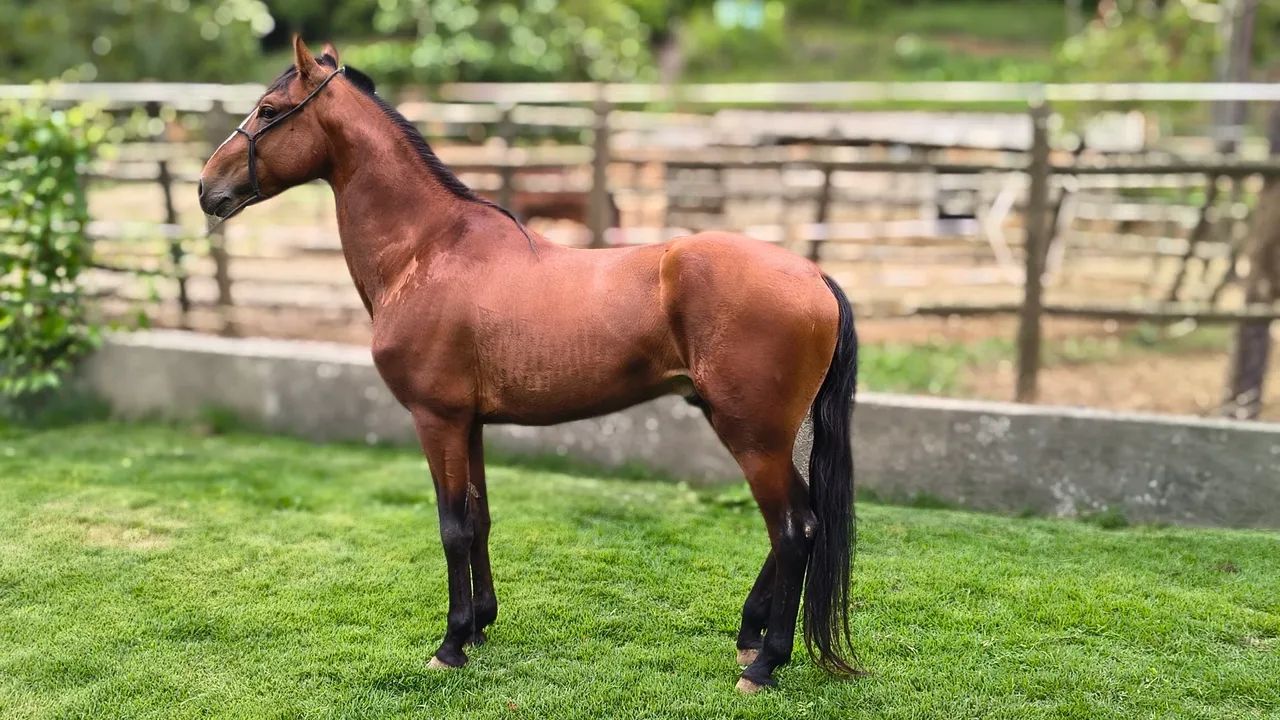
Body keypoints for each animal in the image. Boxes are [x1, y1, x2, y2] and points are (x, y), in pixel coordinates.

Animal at [198, 36, 860, 693]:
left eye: (268, 109)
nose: (207, 188)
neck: (427, 250)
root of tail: (815, 277)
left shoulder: (436, 419)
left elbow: (452, 527)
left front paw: (450, 645)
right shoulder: (469, 424)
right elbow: (480, 519)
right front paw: (479, 626)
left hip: (751, 435)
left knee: (793, 529)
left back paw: (765, 661)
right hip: (768, 434)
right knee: (801, 522)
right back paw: (750, 635)